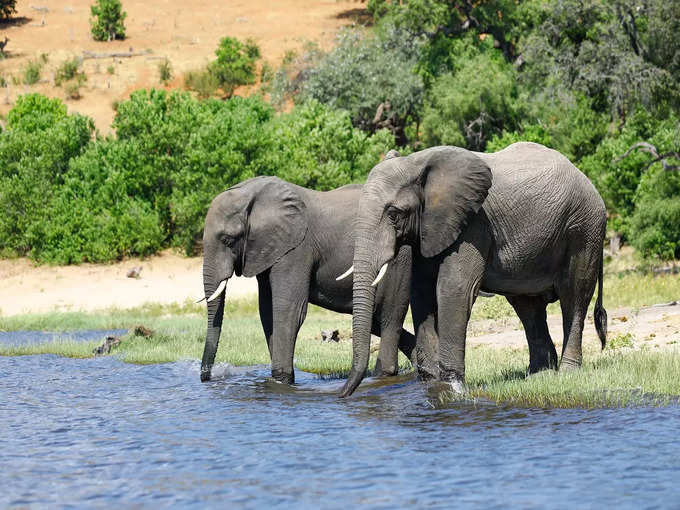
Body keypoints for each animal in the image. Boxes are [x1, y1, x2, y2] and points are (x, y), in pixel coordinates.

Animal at [198, 170, 414, 382]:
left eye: (228, 240)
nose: (207, 378)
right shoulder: (268, 250)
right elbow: (267, 311)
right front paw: (279, 380)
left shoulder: (296, 249)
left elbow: (289, 310)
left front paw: (281, 379)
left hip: (400, 259)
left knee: (389, 316)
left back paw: (385, 374)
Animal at [338, 141, 608, 396]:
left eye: (393, 213)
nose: (342, 395)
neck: (417, 162)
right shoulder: (430, 228)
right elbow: (421, 292)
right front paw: (429, 383)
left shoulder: (473, 223)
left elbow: (453, 288)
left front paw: (451, 387)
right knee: (527, 306)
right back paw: (538, 375)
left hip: (584, 229)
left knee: (573, 297)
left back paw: (567, 371)